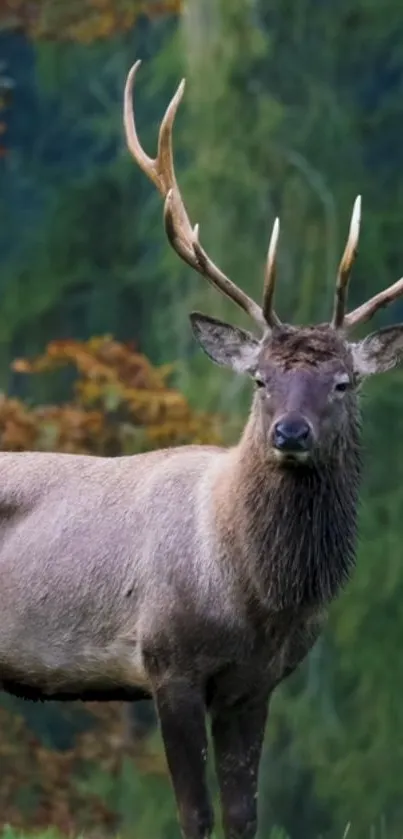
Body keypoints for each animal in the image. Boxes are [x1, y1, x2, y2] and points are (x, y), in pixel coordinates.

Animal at [0, 59, 403, 839]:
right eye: (260, 378)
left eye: (342, 382)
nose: (289, 433)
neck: (254, 593)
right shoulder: (167, 661)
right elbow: (196, 814)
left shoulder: (256, 684)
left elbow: (245, 813)